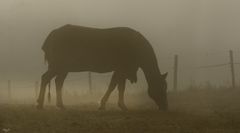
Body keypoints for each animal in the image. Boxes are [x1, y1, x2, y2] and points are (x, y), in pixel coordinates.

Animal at [37, 24, 169, 110]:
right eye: (163, 87)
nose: (165, 106)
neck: (139, 50)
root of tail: (51, 36)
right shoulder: (122, 68)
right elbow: (115, 86)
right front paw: (108, 104)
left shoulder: (120, 69)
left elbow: (118, 86)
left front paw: (118, 104)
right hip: (58, 65)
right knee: (45, 78)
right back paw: (40, 103)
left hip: (64, 68)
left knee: (58, 82)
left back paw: (60, 104)